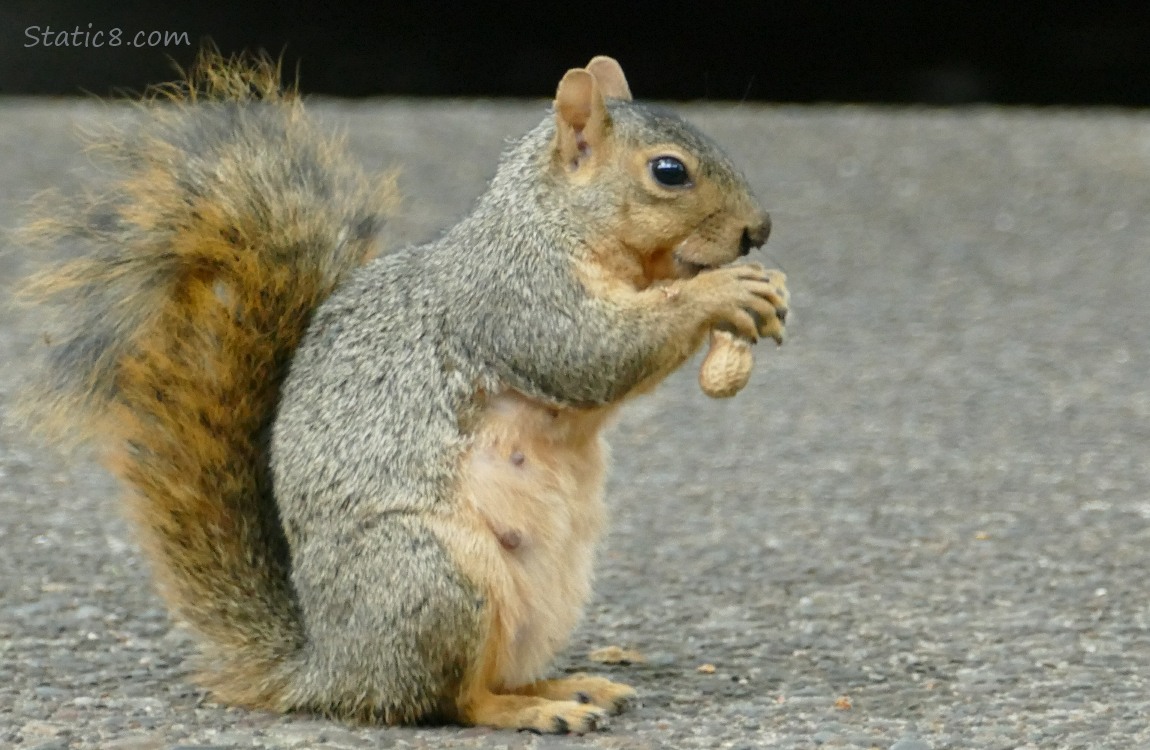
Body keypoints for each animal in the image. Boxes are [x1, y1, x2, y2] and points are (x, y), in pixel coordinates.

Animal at [17, 51, 791, 731]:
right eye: (669, 172)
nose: (759, 230)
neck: (551, 221)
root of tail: (329, 670)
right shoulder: (514, 297)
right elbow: (585, 352)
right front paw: (720, 293)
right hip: (431, 579)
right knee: (450, 700)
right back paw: (531, 711)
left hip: (544, 595)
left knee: (489, 674)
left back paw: (565, 685)